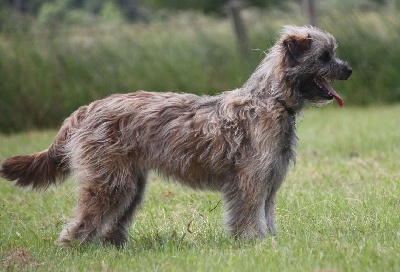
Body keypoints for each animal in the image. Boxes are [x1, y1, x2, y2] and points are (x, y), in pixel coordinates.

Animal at [0, 26, 350, 246]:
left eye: (333, 54)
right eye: (324, 56)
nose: (348, 69)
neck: (271, 99)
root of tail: (88, 108)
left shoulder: (269, 181)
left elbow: (266, 212)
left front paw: (270, 241)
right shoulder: (250, 179)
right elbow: (250, 213)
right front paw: (257, 243)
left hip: (131, 184)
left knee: (113, 221)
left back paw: (113, 247)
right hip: (109, 182)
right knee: (86, 219)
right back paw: (74, 247)